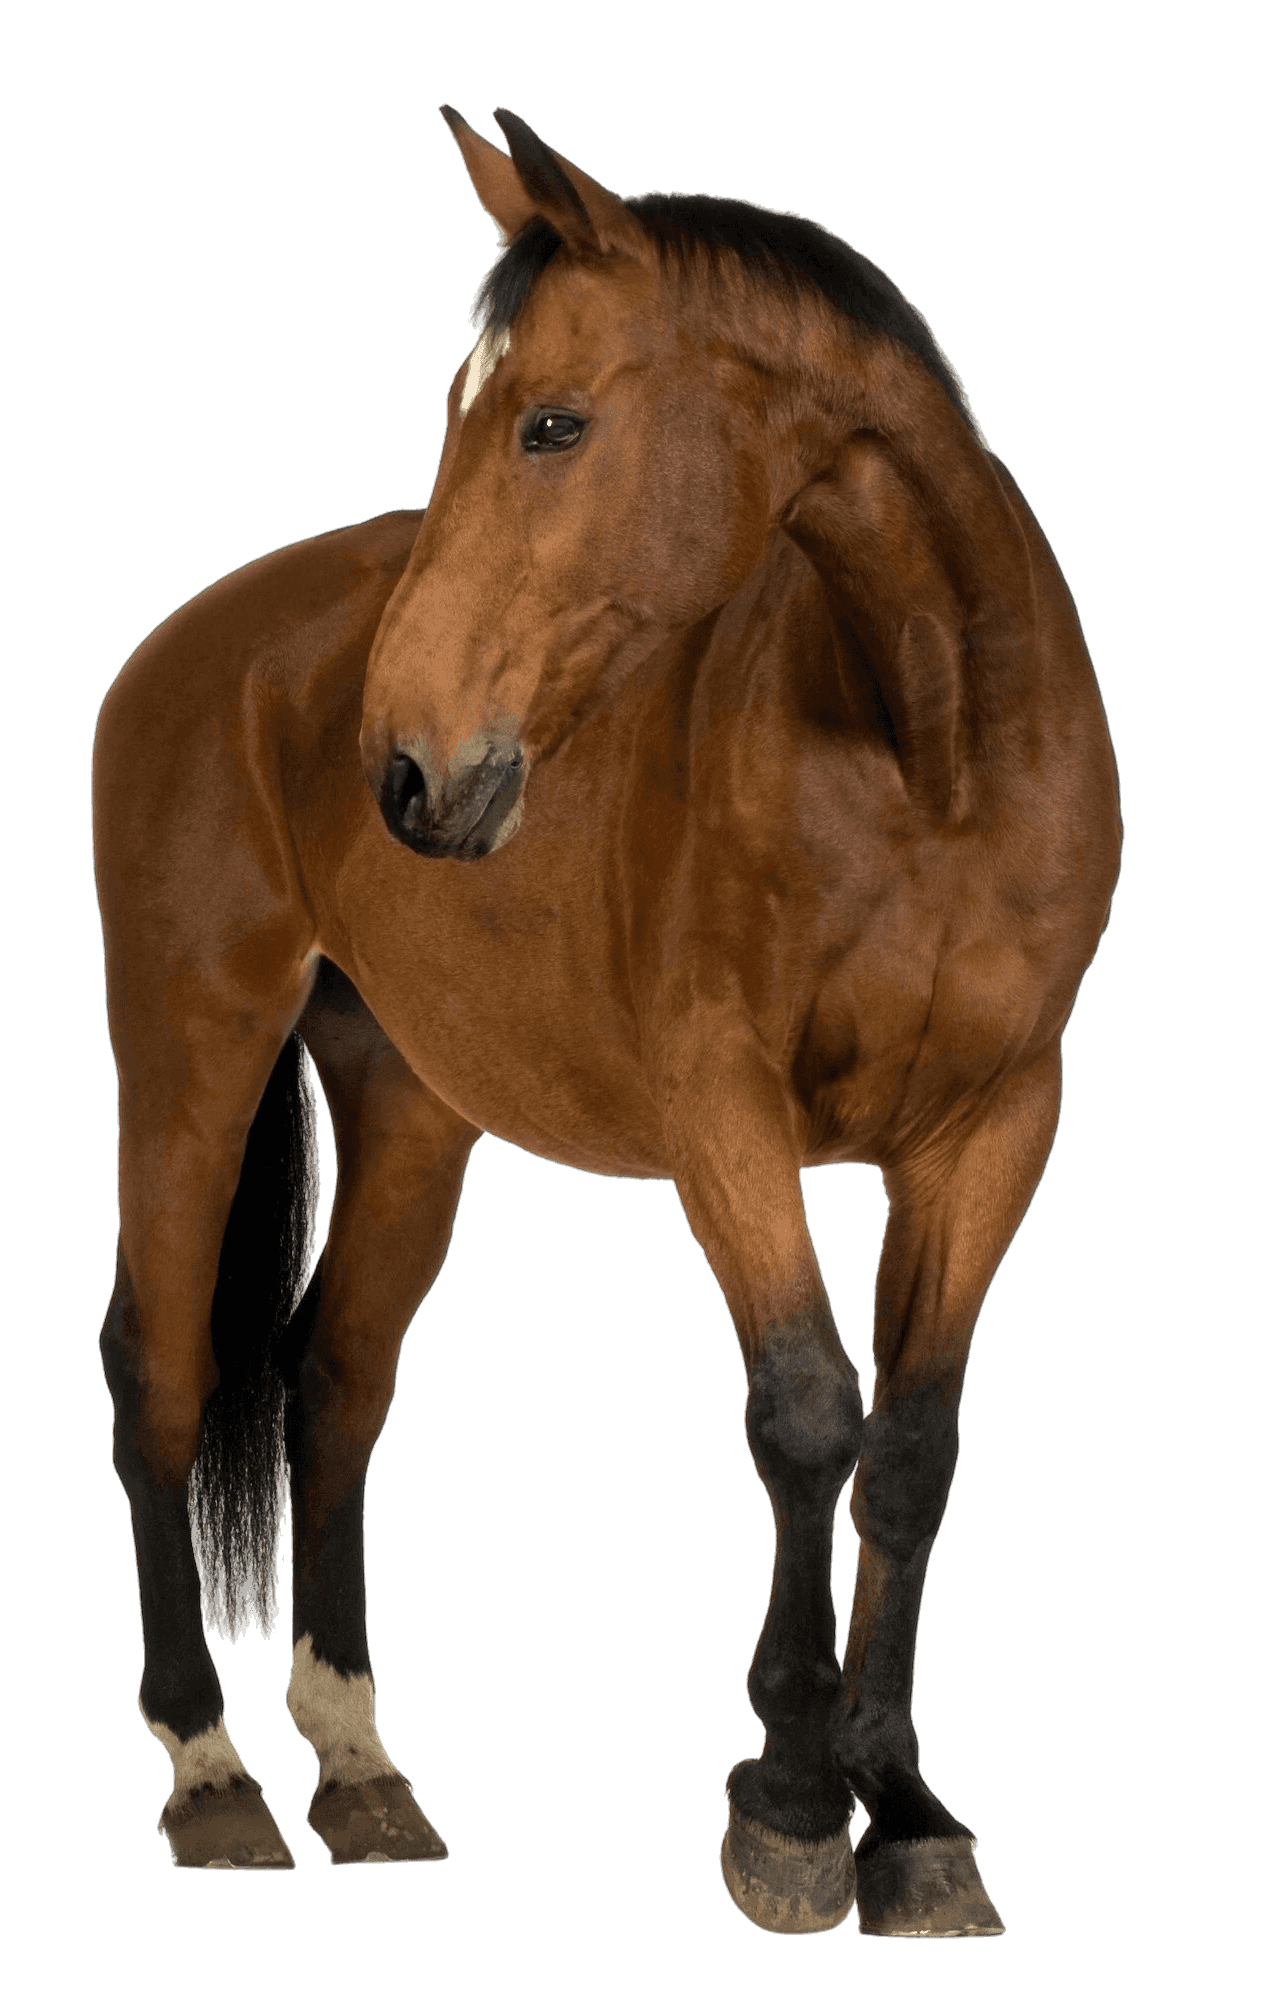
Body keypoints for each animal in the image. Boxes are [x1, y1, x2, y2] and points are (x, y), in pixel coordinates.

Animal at [93, 106, 1120, 1933]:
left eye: (553, 422)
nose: (404, 766)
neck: (928, 756)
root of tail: (214, 639)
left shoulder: (997, 1121)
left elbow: (913, 1447)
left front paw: (908, 1809)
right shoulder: (726, 1109)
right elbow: (808, 1415)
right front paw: (789, 1796)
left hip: (407, 1094)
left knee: (333, 1374)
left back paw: (359, 1769)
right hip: (191, 1050)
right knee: (159, 1362)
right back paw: (211, 1773)